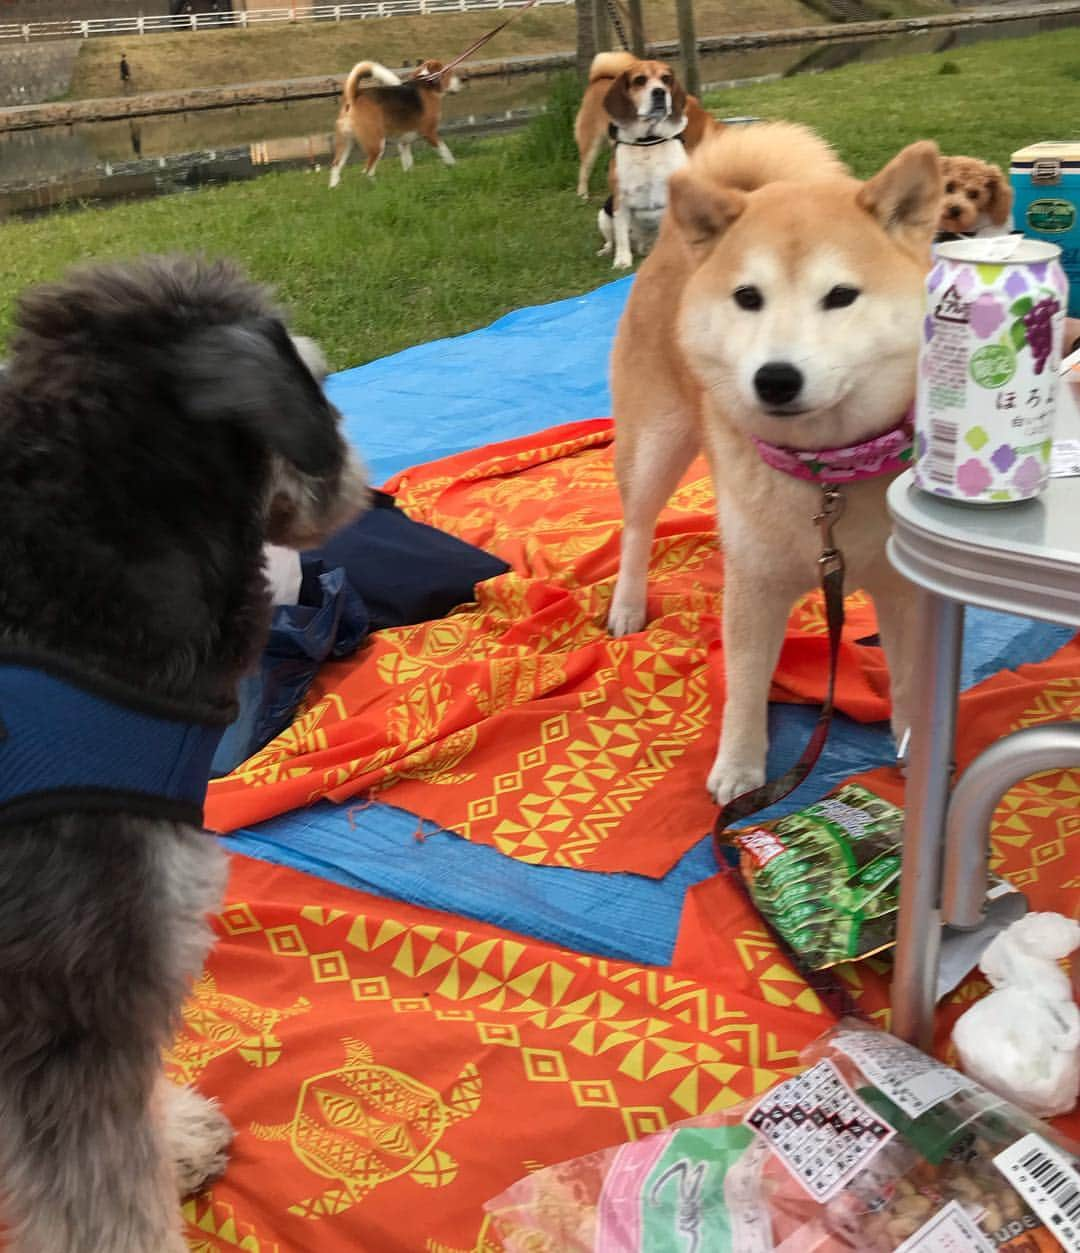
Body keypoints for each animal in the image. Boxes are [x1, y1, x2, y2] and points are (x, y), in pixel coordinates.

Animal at [330, 58, 466, 186]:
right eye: (449, 72)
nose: (463, 80)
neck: (425, 84)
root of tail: (354, 96)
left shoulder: (404, 142)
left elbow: (408, 163)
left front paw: (409, 179)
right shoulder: (429, 132)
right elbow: (445, 150)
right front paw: (453, 166)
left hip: (345, 143)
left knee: (336, 166)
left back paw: (334, 188)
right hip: (376, 144)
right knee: (367, 171)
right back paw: (377, 186)